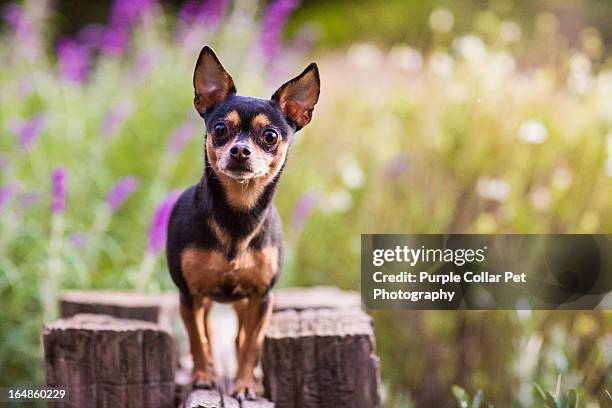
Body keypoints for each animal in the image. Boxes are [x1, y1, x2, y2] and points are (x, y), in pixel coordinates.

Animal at [167, 46, 320, 400]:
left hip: (243, 302)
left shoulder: (261, 297)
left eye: (270, 136)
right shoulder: (188, 295)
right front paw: (203, 376)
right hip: (203, 299)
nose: (240, 150)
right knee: (207, 331)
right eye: (221, 129)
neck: (238, 215)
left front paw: (246, 384)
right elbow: (197, 339)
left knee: (240, 337)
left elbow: (251, 344)